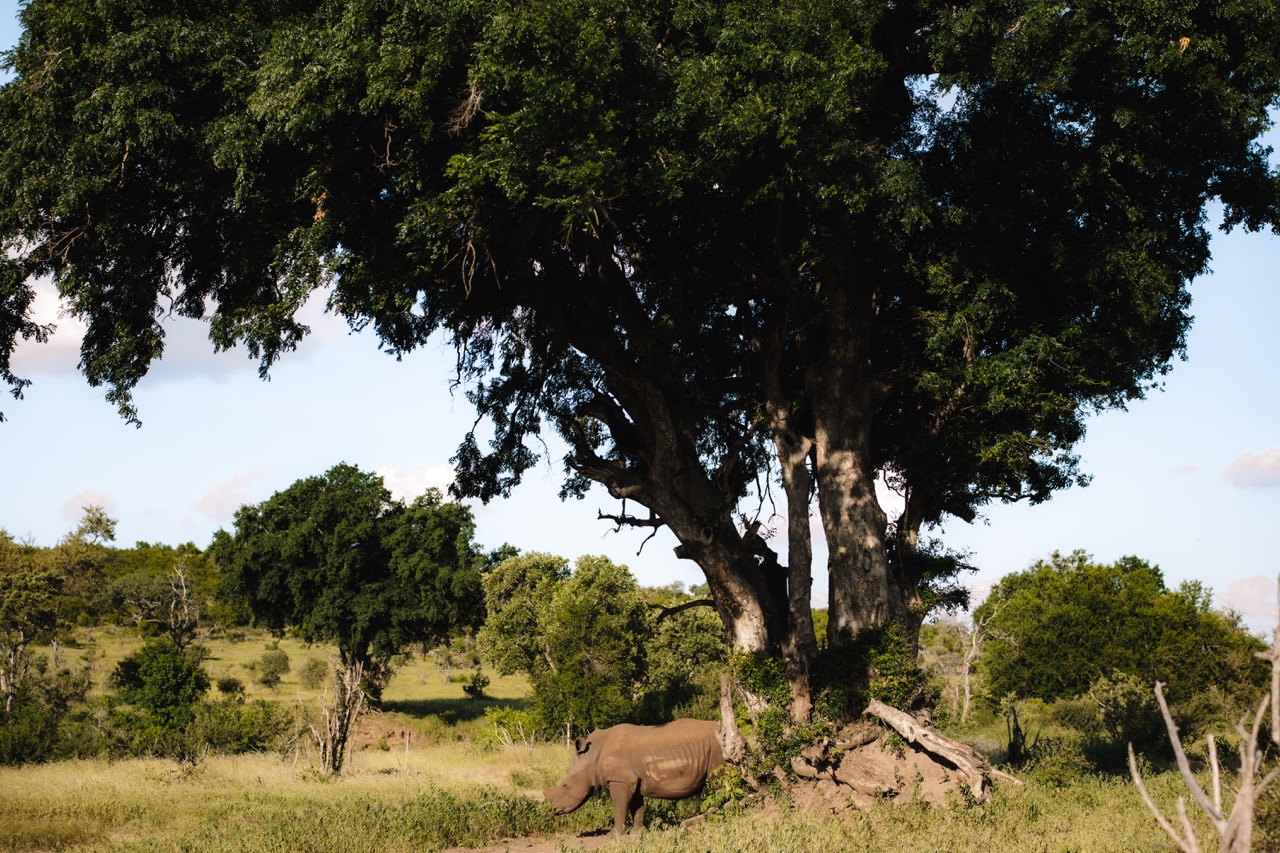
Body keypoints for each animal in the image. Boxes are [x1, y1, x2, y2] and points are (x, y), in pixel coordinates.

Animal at [543, 718, 726, 835]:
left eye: (565, 785)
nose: (554, 810)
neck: (591, 756)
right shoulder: (632, 781)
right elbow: (637, 808)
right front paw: (638, 832)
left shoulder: (619, 780)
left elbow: (619, 808)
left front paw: (614, 835)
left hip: (718, 749)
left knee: (720, 787)